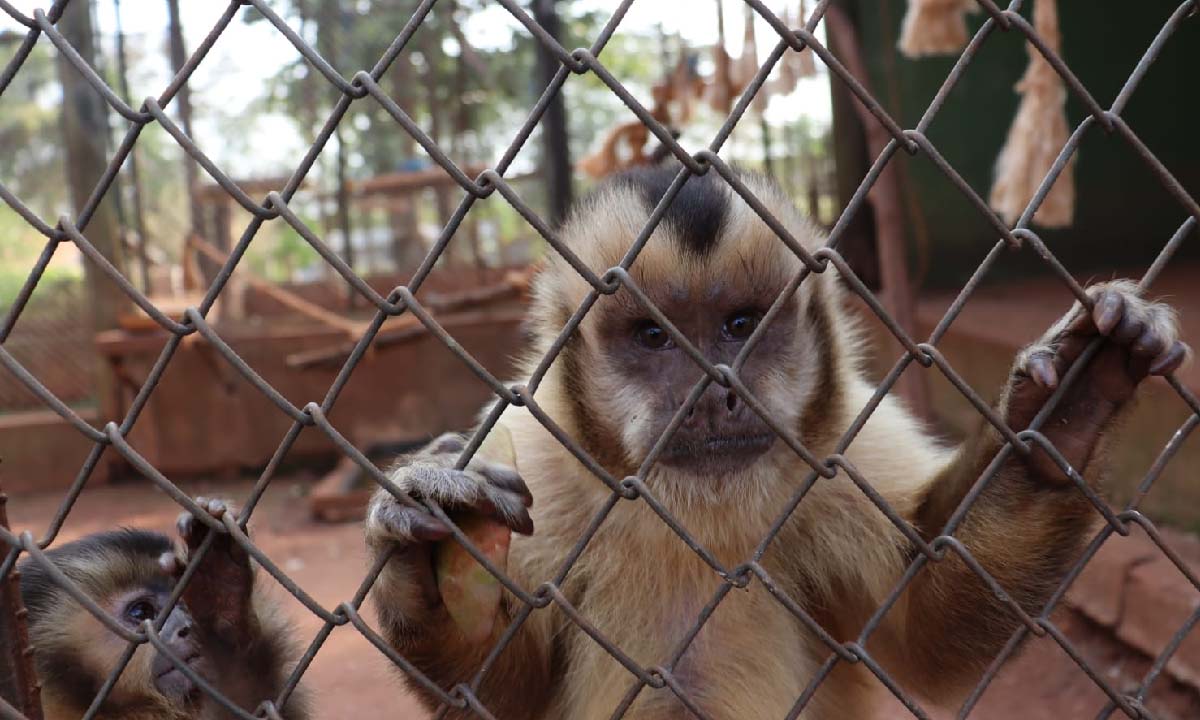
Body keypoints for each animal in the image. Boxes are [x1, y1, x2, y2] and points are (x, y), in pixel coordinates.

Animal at [362, 164, 1180, 720]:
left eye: (741, 325)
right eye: (654, 337)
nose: (714, 391)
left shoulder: (843, 444)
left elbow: (926, 634)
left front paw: (1067, 411)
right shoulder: (534, 448)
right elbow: (507, 700)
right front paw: (436, 572)